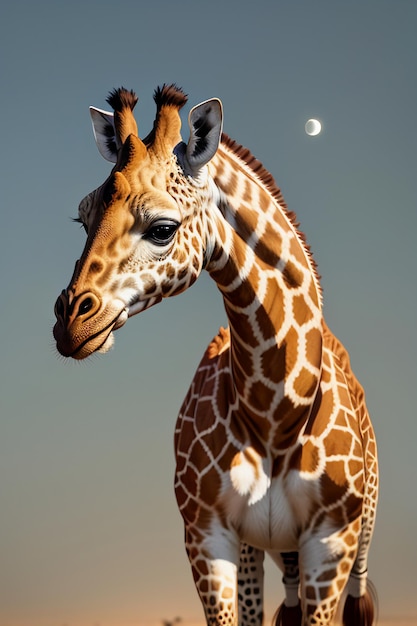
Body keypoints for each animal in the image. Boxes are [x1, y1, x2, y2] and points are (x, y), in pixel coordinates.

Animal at [52, 84, 376, 624]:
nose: (69, 323)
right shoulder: (208, 536)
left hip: (358, 538)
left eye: (163, 228)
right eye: (83, 217)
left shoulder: (332, 542)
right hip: (265, 550)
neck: (275, 412)